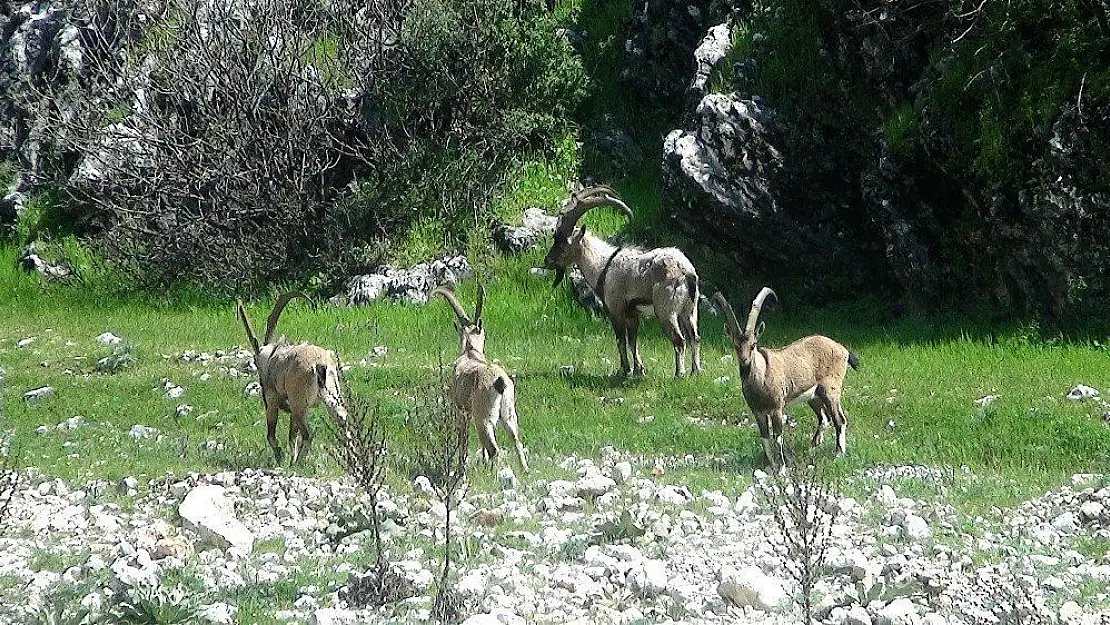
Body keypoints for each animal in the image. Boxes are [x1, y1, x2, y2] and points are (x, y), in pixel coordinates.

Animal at [238, 293, 346, 464]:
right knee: (342, 418)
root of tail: (320, 364)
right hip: (331, 396)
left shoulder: (272, 399)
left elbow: (272, 434)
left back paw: (298, 463)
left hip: (298, 404)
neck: (271, 358)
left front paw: (281, 458)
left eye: (256, 363)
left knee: (308, 434)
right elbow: (292, 435)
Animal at [430, 286, 526, 472]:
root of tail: (500, 383)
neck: (470, 352)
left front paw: (462, 468)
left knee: (494, 448)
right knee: (516, 440)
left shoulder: (462, 411)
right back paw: (524, 471)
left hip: (483, 417)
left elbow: (463, 438)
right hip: (509, 413)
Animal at [543, 185, 701, 379]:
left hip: (667, 311)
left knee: (679, 340)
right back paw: (696, 371)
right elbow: (633, 340)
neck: (603, 265)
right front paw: (639, 369)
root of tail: (687, 272)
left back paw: (679, 373)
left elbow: (620, 339)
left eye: (562, 243)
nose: (547, 260)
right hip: (690, 310)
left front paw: (624, 370)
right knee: (694, 337)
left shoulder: (615, 308)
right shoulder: (632, 313)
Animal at [710, 288, 856, 470]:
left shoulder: (777, 408)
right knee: (824, 418)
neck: (761, 379)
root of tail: (843, 350)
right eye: (736, 345)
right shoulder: (758, 411)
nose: (744, 361)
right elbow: (765, 438)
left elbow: (778, 437)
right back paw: (813, 447)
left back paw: (838, 454)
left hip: (831, 389)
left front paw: (781, 468)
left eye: (753, 344)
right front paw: (771, 465)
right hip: (813, 396)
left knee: (839, 419)